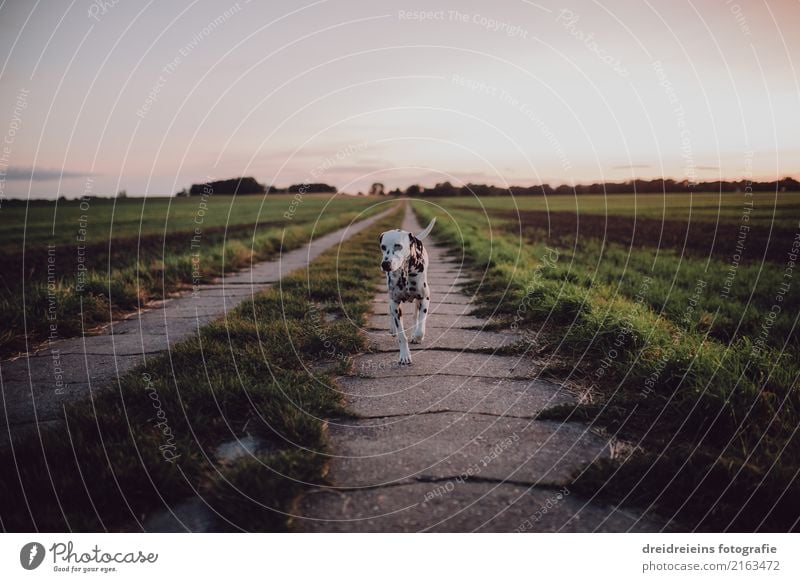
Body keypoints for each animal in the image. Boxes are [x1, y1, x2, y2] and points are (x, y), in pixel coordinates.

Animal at [376, 217, 434, 368]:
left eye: (398, 246)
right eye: (383, 247)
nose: (385, 264)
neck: (405, 274)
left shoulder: (424, 298)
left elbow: (421, 326)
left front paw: (417, 336)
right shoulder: (395, 303)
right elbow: (402, 335)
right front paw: (404, 356)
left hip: (419, 300)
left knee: (416, 316)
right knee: (390, 310)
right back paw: (392, 329)